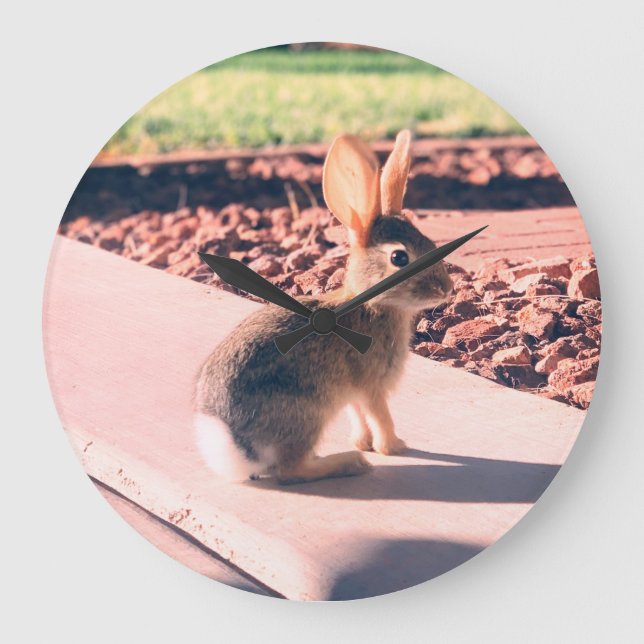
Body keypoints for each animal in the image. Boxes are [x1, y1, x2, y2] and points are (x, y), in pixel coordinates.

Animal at [194, 130, 454, 484]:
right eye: (400, 257)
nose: (447, 288)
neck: (372, 304)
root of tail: (234, 449)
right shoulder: (372, 386)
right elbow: (381, 416)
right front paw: (393, 447)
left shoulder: (352, 393)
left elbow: (359, 415)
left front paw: (364, 443)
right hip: (307, 414)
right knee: (290, 470)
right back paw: (348, 463)